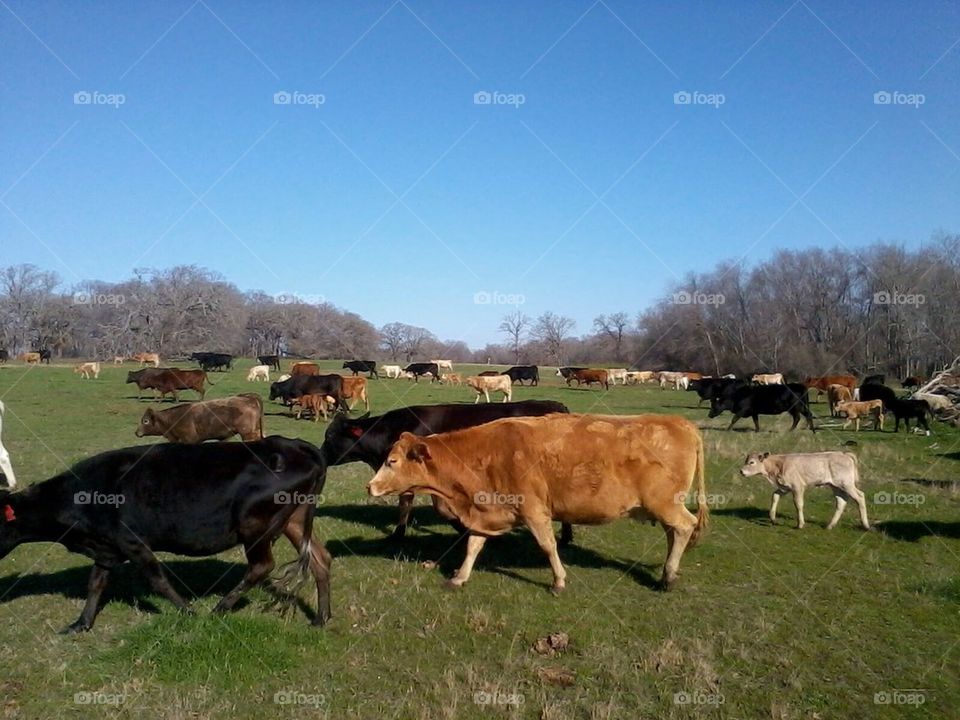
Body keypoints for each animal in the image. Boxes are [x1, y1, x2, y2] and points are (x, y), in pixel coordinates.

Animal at [0, 437, 331, 632]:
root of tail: (295, 445)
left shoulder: (132, 542)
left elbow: (157, 580)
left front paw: (188, 612)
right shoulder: (107, 547)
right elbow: (95, 584)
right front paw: (81, 624)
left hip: (255, 525)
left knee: (262, 566)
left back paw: (219, 609)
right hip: (294, 521)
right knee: (320, 559)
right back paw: (321, 618)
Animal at [367, 413, 708, 592]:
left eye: (392, 461)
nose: (370, 486)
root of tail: (681, 423)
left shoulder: (533, 510)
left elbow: (547, 545)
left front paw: (558, 580)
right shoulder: (485, 512)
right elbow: (473, 545)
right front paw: (460, 576)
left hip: (665, 503)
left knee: (684, 527)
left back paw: (668, 576)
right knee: (674, 532)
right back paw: (668, 572)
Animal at [739, 452, 870, 530]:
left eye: (752, 462)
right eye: (746, 461)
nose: (741, 471)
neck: (778, 465)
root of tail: (844, 454)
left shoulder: (797, 486)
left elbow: (798, 504)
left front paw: (800, 524)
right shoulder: (785, 487)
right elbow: (775, 496)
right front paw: (772, 518)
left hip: (846, 484)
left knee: (860, 497)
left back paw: (866, 525)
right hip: (836, 486)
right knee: (841, 502)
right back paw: (830, 525)